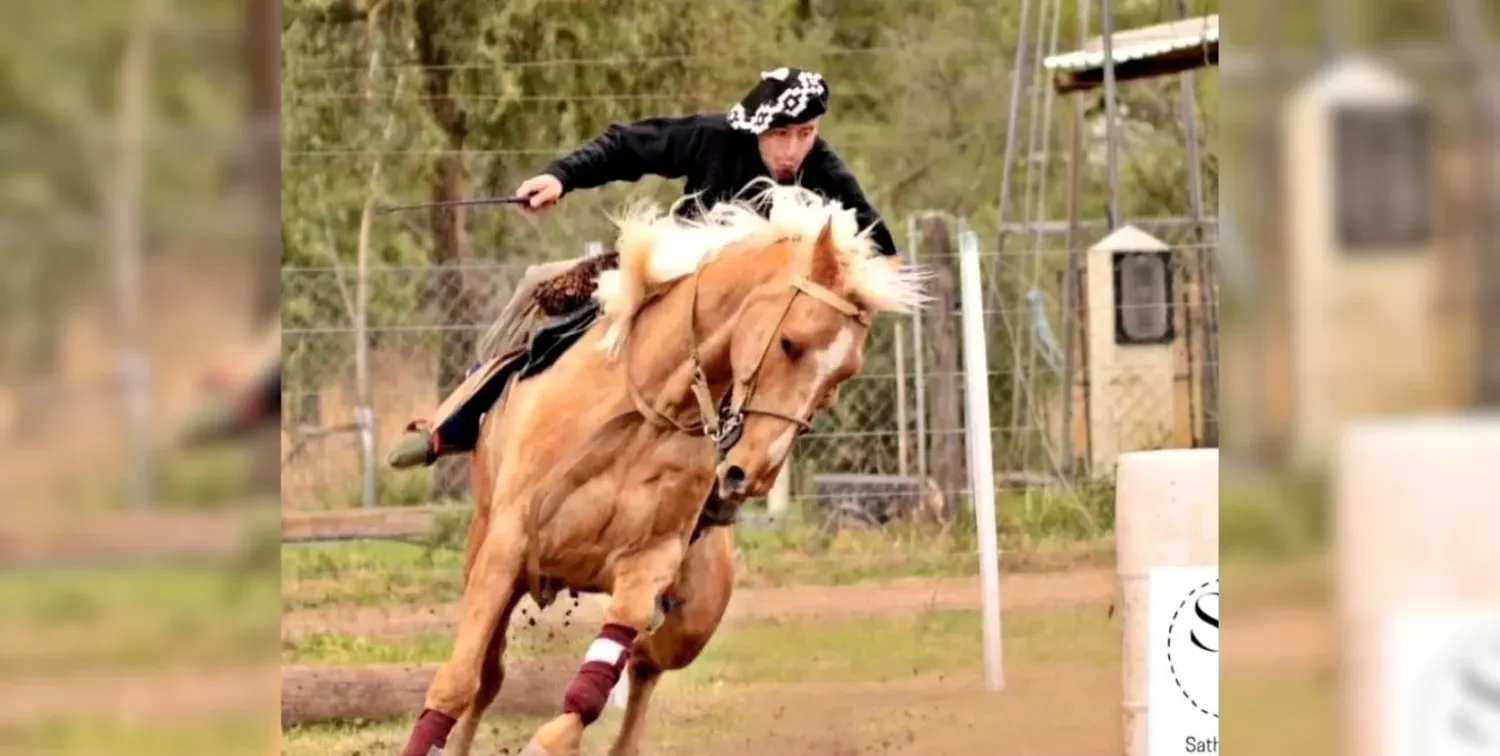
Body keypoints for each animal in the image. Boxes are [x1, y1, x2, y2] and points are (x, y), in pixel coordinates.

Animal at [405, 184, 930, 756]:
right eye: (790, 342)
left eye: (841, 377)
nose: (752, 474)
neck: (651, 410)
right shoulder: (507, 545)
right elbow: (459, 682)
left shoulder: (647, 564)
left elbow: (592, 689)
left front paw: (550, 740)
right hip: (484, 551)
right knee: (489, 676)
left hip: (691, 620)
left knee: (641, 669)